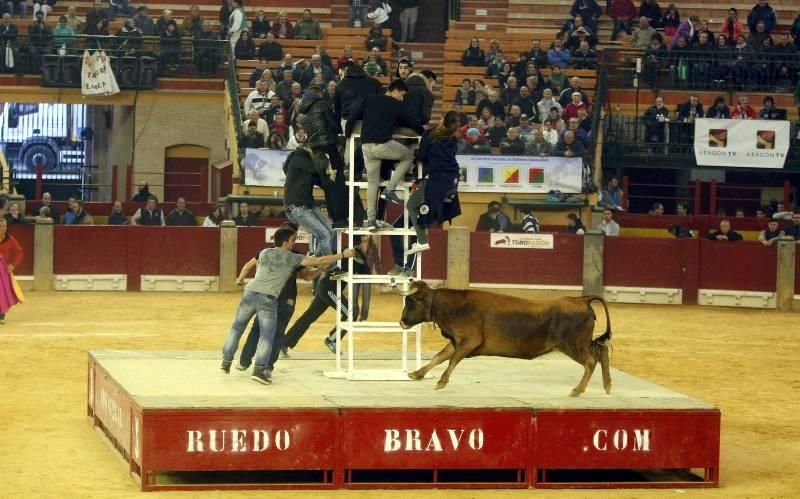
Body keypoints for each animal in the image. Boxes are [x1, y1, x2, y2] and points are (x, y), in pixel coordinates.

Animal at [398, 284, 612, 396]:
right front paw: (417, 374)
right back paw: (607, 386)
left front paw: (441, 382)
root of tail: (580, 300)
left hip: (573, 345)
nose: (401, 322)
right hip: (581, 343)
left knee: (590, 361)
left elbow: (451, 360)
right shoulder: (457, 342)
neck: (454, 307)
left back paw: (577, 390)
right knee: (601, 351)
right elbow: (438, 357)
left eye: (411, 302)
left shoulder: (469, 342)